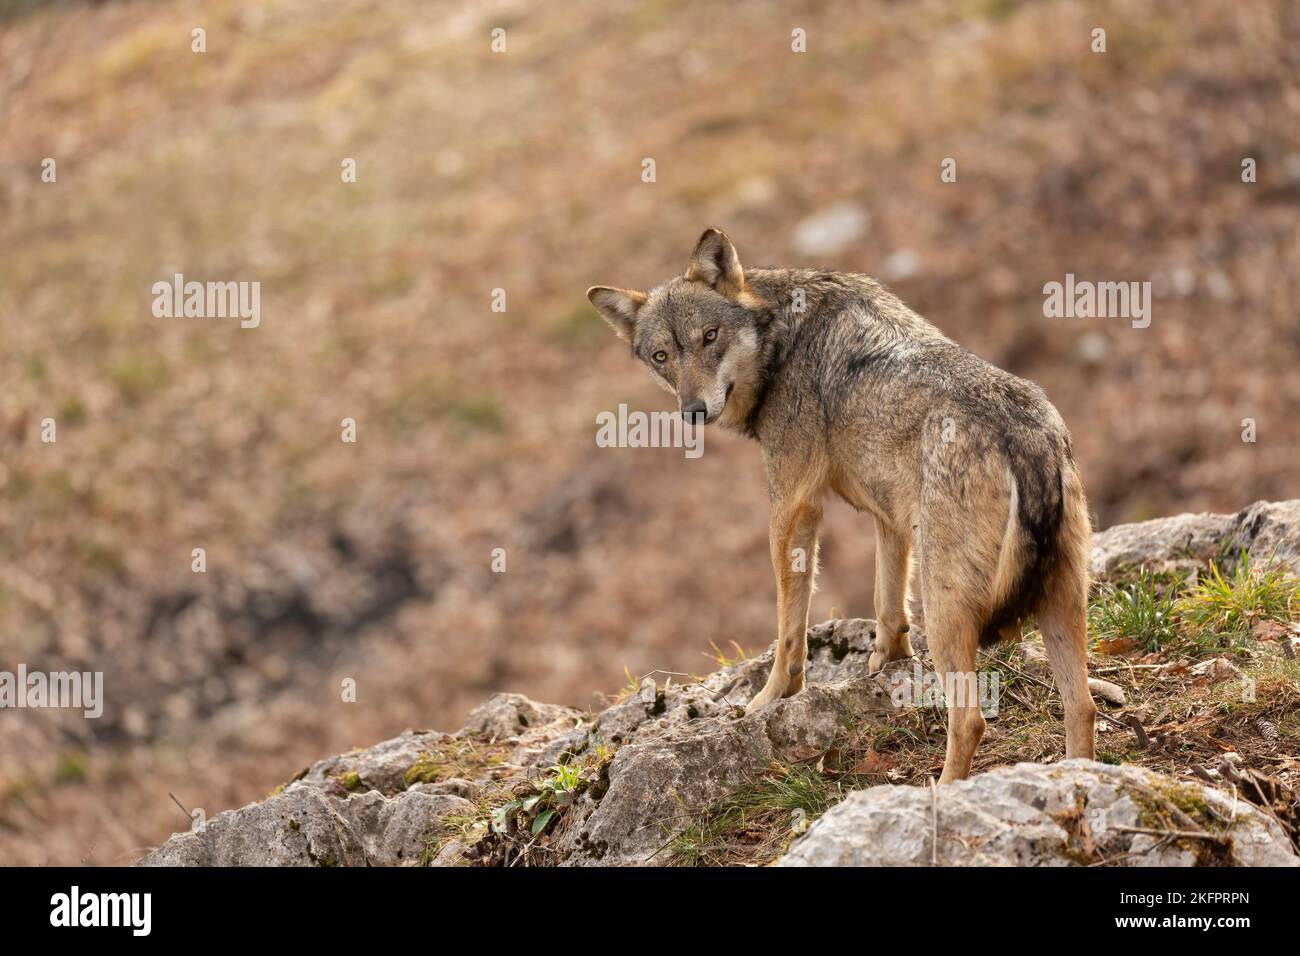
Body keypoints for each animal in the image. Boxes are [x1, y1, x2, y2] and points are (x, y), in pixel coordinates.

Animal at [588, 228, 1097, 782]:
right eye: (662, 356)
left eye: (710, 336)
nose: (693, 412)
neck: (783, 337)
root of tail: (1023, 439)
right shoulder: (889, 516)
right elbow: (886, 602)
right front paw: (885, 664)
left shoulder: (793, 508)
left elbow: (790, 629)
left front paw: (770, 699)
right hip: (1061, 602)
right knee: (1083, 707)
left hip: (950, 610)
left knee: (970, 720)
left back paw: (940, 791)